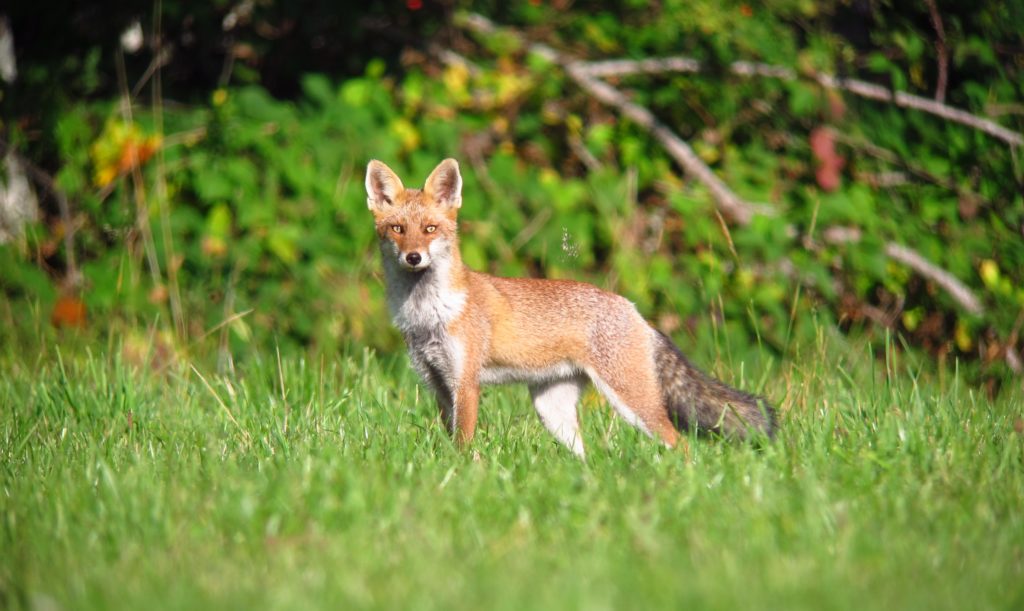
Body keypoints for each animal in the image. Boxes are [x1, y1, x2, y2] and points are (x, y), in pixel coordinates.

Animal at [365, 158, 776, 457]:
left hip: (631, 400)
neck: (427, 314)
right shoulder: (437, 383)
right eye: (398, 229)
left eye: (430, 229)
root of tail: (633, 309)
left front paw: (464, 475)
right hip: (553, 410)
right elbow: (450, 438)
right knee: (587, 456)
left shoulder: (464, 384)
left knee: (682, 445)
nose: (414, 257)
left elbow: (463, 444)